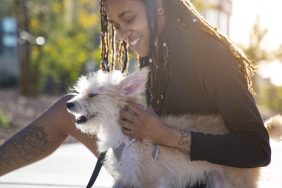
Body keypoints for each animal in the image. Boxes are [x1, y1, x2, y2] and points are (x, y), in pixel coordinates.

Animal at [66, 67, 282, 188]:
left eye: (93, 95)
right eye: (82, 92)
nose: (69, 104)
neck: (123, 135)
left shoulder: (149, 180)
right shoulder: (126, 178)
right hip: (218, 181)